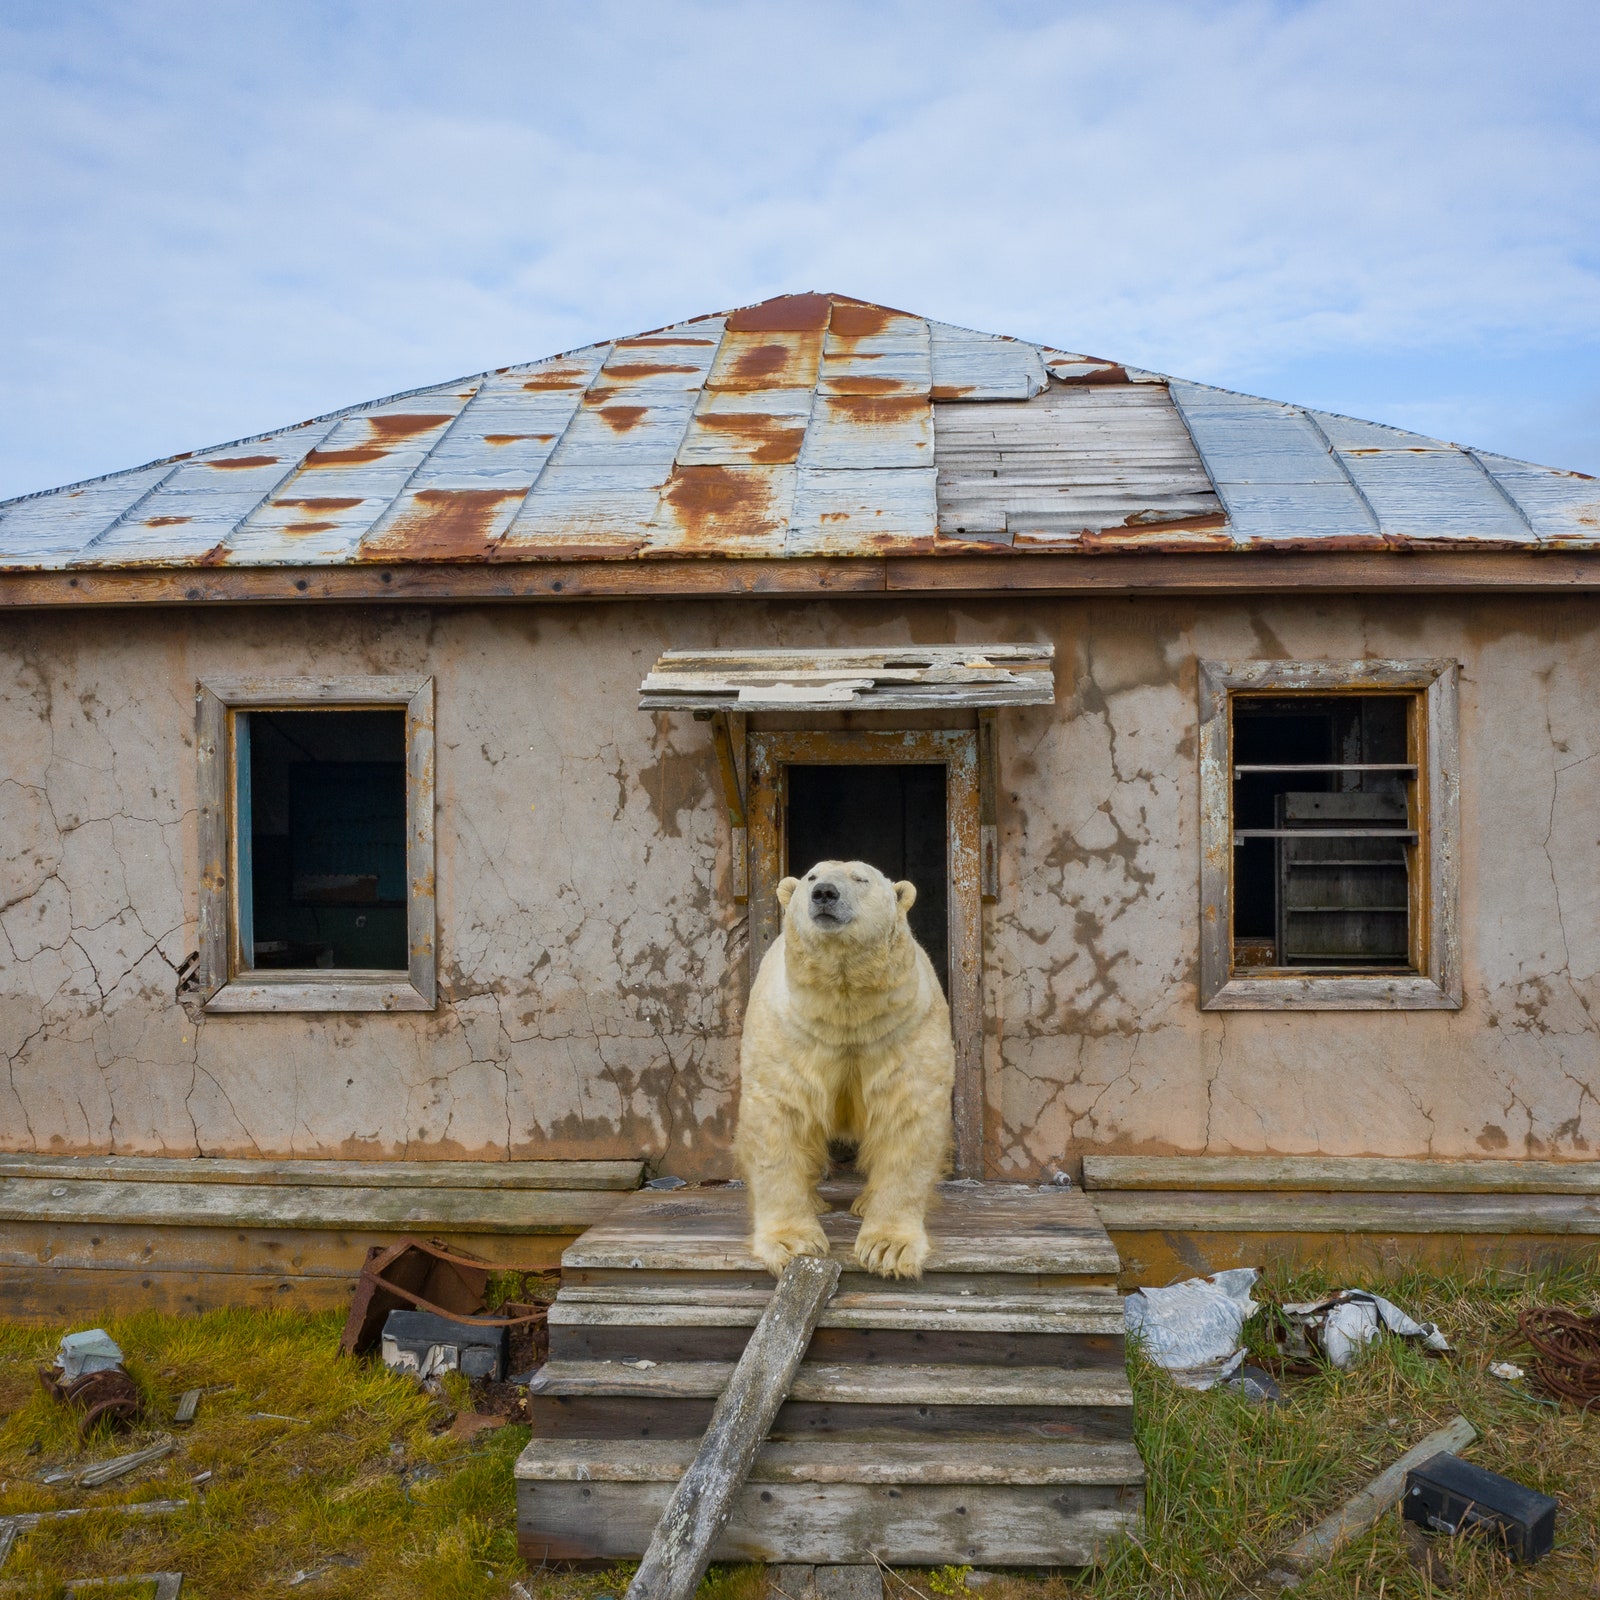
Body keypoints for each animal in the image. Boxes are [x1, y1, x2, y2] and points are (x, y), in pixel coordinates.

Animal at [732, 857, 953, 1280]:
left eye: (861, 878)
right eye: (812, 877)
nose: (825, 894)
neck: (845, 1010)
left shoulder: (903, 1027)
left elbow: (907, 1117)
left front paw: (888, 1248)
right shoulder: (790, 1032)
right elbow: (778, 1117)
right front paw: (793, 1241)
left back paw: (865, 1202)